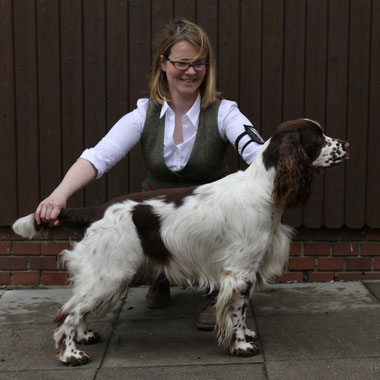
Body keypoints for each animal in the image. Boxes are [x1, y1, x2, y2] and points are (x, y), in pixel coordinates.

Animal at [12, 119, 350, 366]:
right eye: (318, 136)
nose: (347, 144)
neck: (265, 189)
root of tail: (97, 210)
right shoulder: (239, 271)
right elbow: (237, 311)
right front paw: (241, 346)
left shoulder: (247, 269)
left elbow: (240, 312)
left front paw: (247, 335)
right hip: (109, 274)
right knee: (66, 314)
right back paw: (71, 355)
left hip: (103, 275)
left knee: (78, 309)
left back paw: (83, 337)